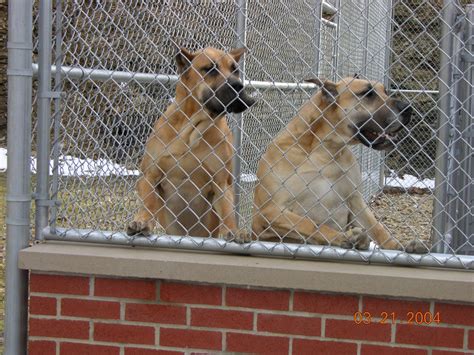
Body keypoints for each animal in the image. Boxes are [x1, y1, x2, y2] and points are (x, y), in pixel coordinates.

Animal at [127, 47, 256, 241]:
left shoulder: (221, 182)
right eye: (210, 69)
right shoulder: (150, 175)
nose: (239, 86)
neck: (192, 128)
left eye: (235, 70)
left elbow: (227, 211)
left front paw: (233, 230)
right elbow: (149, 202)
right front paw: (143, 221)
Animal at [254, 77, 428, 254]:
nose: (408, 108)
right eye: (367, 93)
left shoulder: (355, 201)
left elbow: (377, 227)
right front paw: (343, 237)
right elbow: (309, 224)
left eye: (385, 91)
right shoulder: (268, 212)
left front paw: (398, 246)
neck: (326, 152)